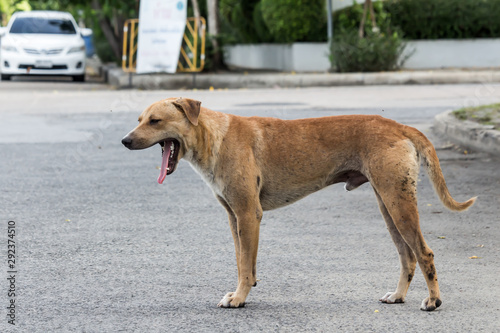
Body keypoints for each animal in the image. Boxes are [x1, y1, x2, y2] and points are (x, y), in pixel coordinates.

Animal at [122, 97, 476, 310]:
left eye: (155, 121)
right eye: (139, 119)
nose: (125, 141)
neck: (214, 137)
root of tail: (399, 126)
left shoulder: (248, 214)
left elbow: (245, 264)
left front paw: (240, 297)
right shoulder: (234, 218)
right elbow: (242, 261)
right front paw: (239, 292)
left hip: (398, 204)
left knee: (424, 253)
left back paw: (433, 301)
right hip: (388, 206)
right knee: (407, 256)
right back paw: (399, 295)